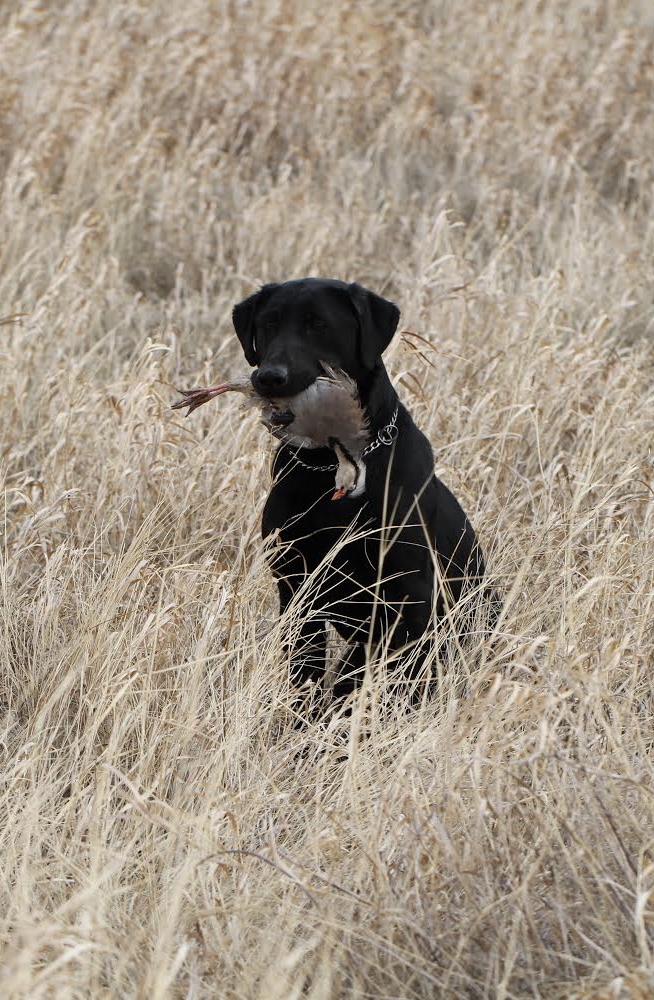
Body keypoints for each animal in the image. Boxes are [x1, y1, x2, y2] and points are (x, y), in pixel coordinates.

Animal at [233, 274, 490, 696]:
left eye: (319, 324)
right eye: (268, 324)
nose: (269, 377)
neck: (326, 467)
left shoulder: (408, 595)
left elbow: (383, 673)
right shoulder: (295, 586)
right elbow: (305, 670)